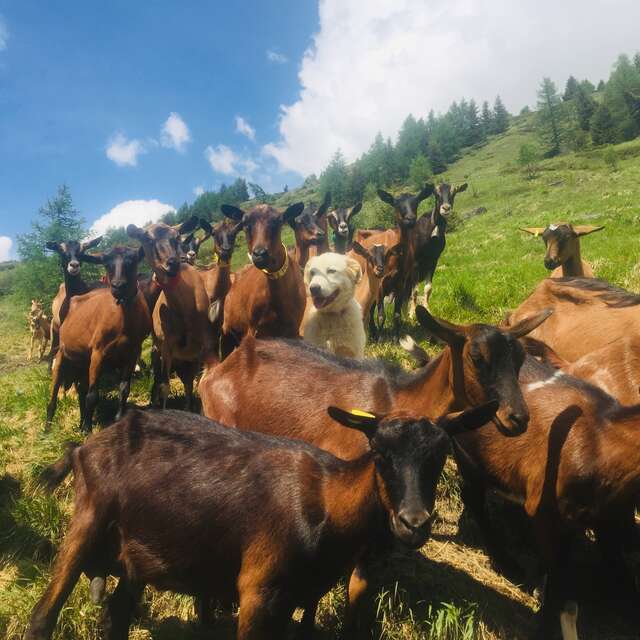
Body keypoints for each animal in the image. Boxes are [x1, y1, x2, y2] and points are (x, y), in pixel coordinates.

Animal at [26, 404, 496, 640]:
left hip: (134, 556)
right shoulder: (258, 591)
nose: (414, 523)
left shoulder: (294, 599)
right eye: (380, 455)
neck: (326, 502)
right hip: (86, 522)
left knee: (116, 619)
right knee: (42, 616)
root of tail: (83, 446)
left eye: (441, 456)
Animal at [45, 248, 151, 432]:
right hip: (61, 358)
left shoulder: (132, 353)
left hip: (81, 364)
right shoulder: (98, 352)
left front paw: (118, 419)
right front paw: (87, 429)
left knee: (81, 390)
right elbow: (93, 394)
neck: (123, 320)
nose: (118, 286)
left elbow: (124, 389)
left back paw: (80, 421)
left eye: (132, 261)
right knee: (54, 396)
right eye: (107, 264)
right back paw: (47, 429)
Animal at [220, 202, 308, 356]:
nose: (260, 254)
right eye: (245, 224)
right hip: (227, 330)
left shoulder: (294, 331)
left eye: (279, 222)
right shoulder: (253, 329)